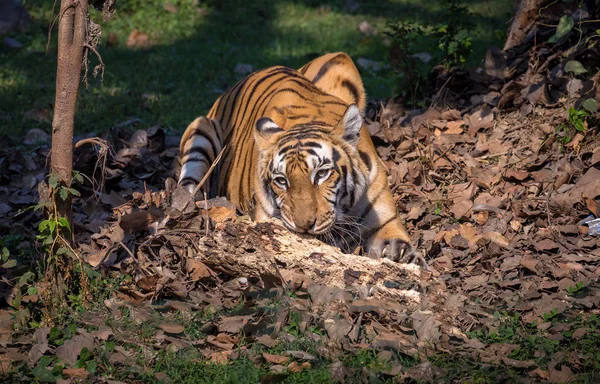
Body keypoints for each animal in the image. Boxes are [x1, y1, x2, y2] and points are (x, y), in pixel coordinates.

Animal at [176, 51, 414, 260]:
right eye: (281, 180)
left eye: (322, 174)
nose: (304, 226)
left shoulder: (385, 220)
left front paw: (400, 256)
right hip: (200, 131)